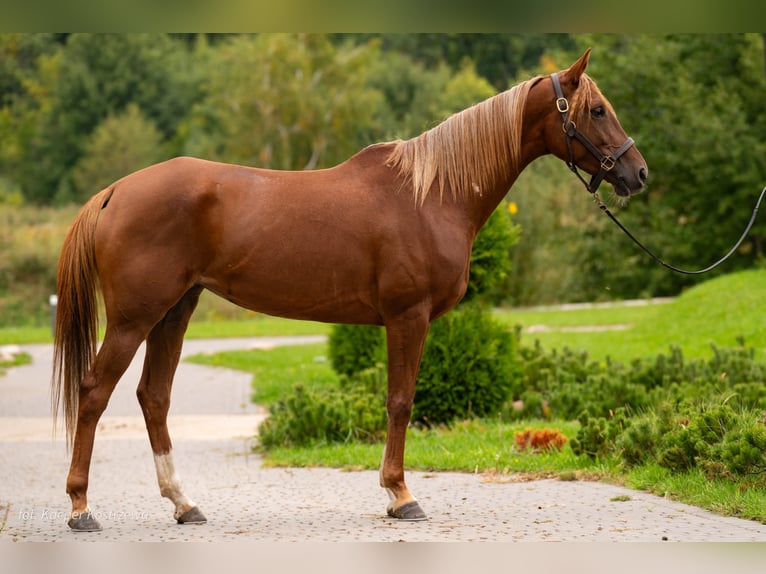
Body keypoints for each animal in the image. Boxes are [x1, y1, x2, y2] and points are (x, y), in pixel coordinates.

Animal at [52, 48, 647, 531]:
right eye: (597, 110)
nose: (638, 173)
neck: (431, 194)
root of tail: (115, 190)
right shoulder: (408, 316)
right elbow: (401, 402)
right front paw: (401, 495)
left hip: (175, 310)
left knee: (154, 397)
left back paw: (184, 504)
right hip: (134, 318)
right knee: (94, 392)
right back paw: (81, 508)